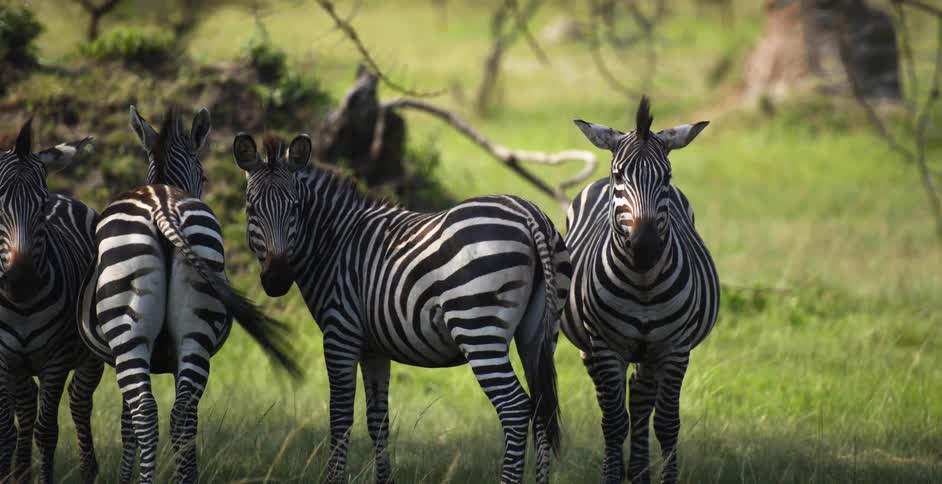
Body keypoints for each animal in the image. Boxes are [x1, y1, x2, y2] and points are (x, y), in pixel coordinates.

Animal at [0, 119, 103, 484]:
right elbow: (7, 429)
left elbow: (46, 431)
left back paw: (88, 470)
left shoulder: (55, 359)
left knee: (79, 403)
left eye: (42, 207)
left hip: (90, 356)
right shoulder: (4, 358)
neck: (21, 306)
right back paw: (20, 472)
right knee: (26, 408)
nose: (22, 280)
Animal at [77, 107, 301, 484]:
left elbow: (126, 428)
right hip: (197, 328)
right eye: (206, 177)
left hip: (128, 334)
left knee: (146, 413)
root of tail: (163, 208)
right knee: (183, 415)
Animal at [232, 133, 571, 484]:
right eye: (251, 208)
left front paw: (334, 479)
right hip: (540, 333)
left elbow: (340, 418)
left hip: (477, 327)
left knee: (516, 409)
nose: (276, 279)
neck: (335, 242)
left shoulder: (340, 333)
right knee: (542, 408)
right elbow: (377, 420)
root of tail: (529, 215)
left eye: (296, 208)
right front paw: (384, 479)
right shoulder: (374, 348)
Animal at [563, 97, 720, 484]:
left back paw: (638, 472)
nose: (645, 247)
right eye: (620, 176)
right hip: (592, 349)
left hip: (649, 351)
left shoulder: (675, 348)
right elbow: (614, 423)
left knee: (639, 399)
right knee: (615, 406)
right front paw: (611, 476)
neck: (644, 284)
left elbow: (666, 423)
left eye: (667, 178)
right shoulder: (606, 347)